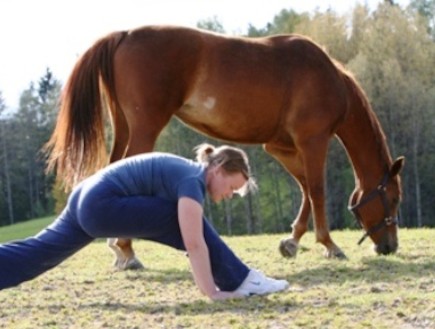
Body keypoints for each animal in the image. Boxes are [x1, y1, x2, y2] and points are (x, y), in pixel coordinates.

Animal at [45, 23, 406, 270]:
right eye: (393, 198)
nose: (389, 246)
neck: (328, 78)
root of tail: (126, 34)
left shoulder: (283, 148)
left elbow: (304, 187)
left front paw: (292, 241)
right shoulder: (312, 141)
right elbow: (317, 189)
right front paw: (329, 244)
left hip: (123, 127)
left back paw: (119, 248)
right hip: (145, 128)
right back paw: (126, 248)